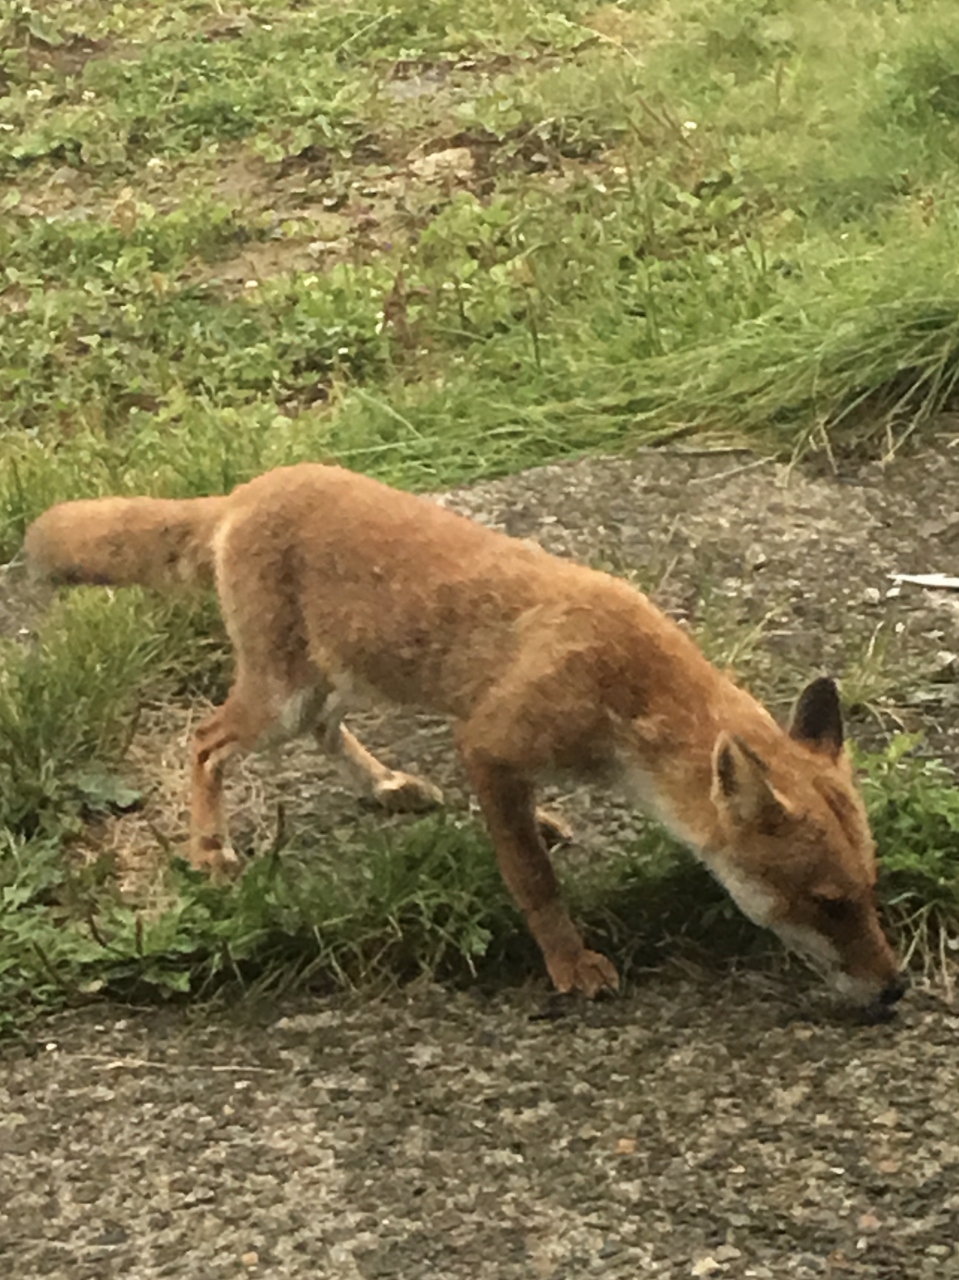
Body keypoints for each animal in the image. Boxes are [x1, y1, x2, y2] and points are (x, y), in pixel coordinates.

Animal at [24, 463, 906, 1012]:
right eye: (827, 903)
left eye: (869, 888)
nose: (896, 988)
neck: (628, 692)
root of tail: (247, 489)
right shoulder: (489, 740)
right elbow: (532, 881)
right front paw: (566, 963)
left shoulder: (492, 740)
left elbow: (522, 830)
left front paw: (539, 824)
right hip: (280, 700)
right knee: (205, 740)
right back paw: (210, 850)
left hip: (339, 682)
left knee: (326, 733)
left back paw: (387, 786)